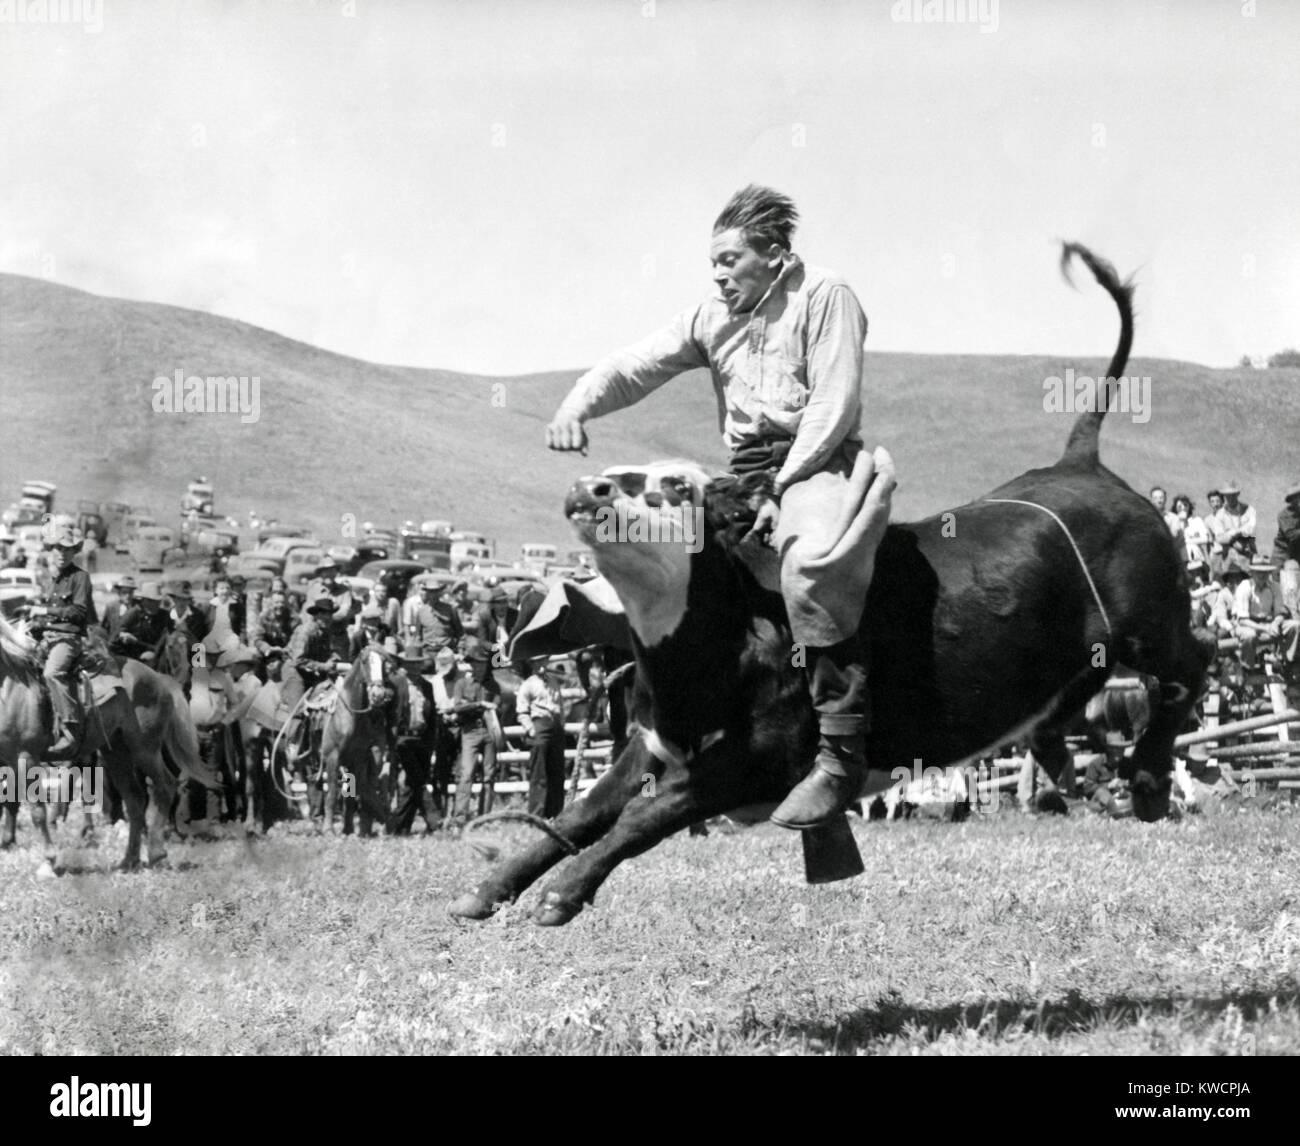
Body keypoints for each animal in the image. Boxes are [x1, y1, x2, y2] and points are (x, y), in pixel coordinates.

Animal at [449, 243, 1212, 927]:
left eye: (676, 486)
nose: (590, 487)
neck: (706, 642)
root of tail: (1082, 463)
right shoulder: (651, 741)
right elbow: (581, 812)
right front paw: (488, 890)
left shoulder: (753, 762)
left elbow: (639, 818)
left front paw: (560, 895)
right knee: (1078, 703)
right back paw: (1071, 757)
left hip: (1154, 624)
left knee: (1190, 668)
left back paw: (1147, 781)